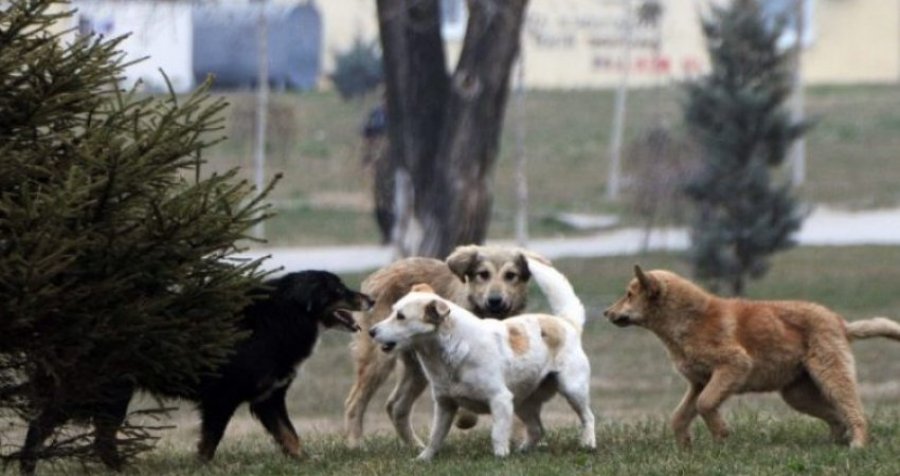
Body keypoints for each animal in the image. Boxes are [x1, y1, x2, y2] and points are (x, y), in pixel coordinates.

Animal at [21, 270, 372, 474]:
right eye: (339, 289)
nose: (369, 298)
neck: (280, 317)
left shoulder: (268, 399)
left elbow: (290, 436)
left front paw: (304, 462)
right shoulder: (222, 398)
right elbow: (210, 441)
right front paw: (200, 467)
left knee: (98, 439)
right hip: (100, 391)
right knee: (46, 427)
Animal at [370, 258, 596, 460]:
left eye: (401, 316)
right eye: (392, 311)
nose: (372, 331)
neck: (451, 351)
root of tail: (566, 323)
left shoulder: (500, 400)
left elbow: (497, 434)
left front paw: (500, 457)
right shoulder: (444, 405)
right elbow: (435, 436)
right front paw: (423, 458)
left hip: (572, 389)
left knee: (587, 417)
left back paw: (587, 443)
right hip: (523, 403)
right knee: (537, 429)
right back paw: (523, 450)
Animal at [600, 266, 900, 448]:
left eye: (629, 295)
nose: (605, 312)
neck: (688, 321)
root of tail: (841, 323)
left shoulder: (734, 365)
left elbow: (705, 404)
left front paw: (721, 435)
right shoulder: (698, 382)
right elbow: (680, 416)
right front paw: (685, 446)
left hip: (831, 375)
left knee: (855, 412)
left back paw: (857, 444)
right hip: (797, 394)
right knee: (837, 416)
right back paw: (834, 443)